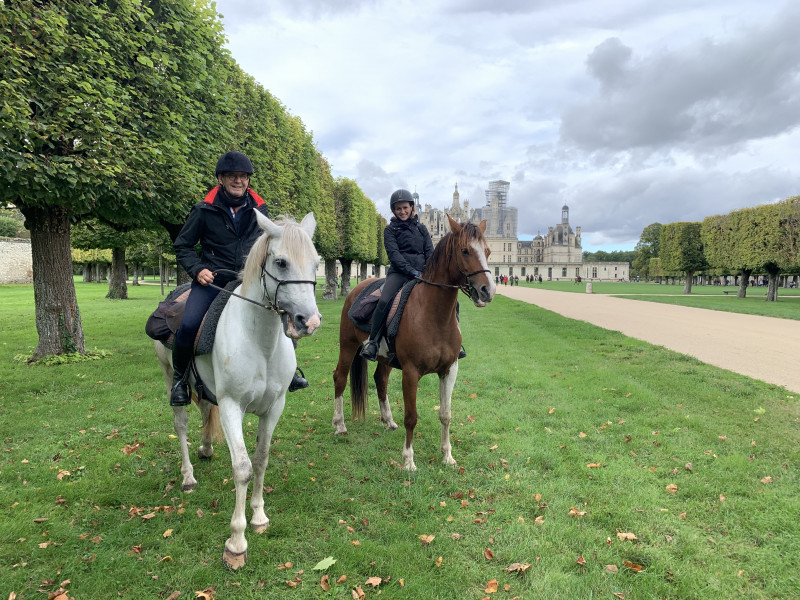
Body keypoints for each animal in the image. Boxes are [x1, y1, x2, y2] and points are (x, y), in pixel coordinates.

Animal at [155, 213, 320, 568]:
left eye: (316, 264)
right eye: (281, 262)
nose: (309, 322)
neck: (261, 342)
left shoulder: (274, 408)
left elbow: (260, 459)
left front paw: (258, 517)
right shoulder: (232, 406)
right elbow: (242, 468)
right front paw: (236, 542)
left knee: (205, 411)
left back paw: (206, 449)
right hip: (171, 377)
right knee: (181, 424)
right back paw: (188, 477)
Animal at [330, 213, 494, 472]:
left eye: (487, 251)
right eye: (465, 250)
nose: (488, 290)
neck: (434, 315)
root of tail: (358, 288)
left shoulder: (450, 370)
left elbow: (445, 414)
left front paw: (447, 456)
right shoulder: (410, 372)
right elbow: (411, 417)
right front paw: (408, 460)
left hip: (384, 358)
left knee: (380, 380)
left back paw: (388, 420)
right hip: (347, 345)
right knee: (340, 377)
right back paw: (339, 424)